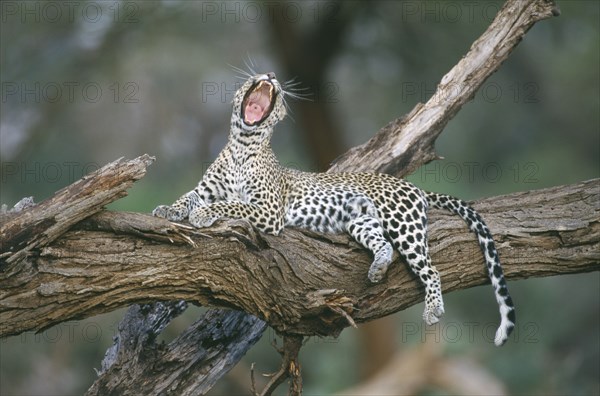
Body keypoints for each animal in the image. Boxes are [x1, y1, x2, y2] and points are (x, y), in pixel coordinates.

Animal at [155, 71, 516, 346]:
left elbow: (232, 205)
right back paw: (377, 270)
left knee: (430, 268)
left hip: (403, 223)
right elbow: (189, 197)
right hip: (362, 222)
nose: (270, 74)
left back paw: (432, 309)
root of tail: (412, 186)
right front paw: (167, 210)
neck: (242, 147)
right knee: (384, 246)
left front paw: (203, 215)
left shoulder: (268, 210)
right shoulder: (206, 190)